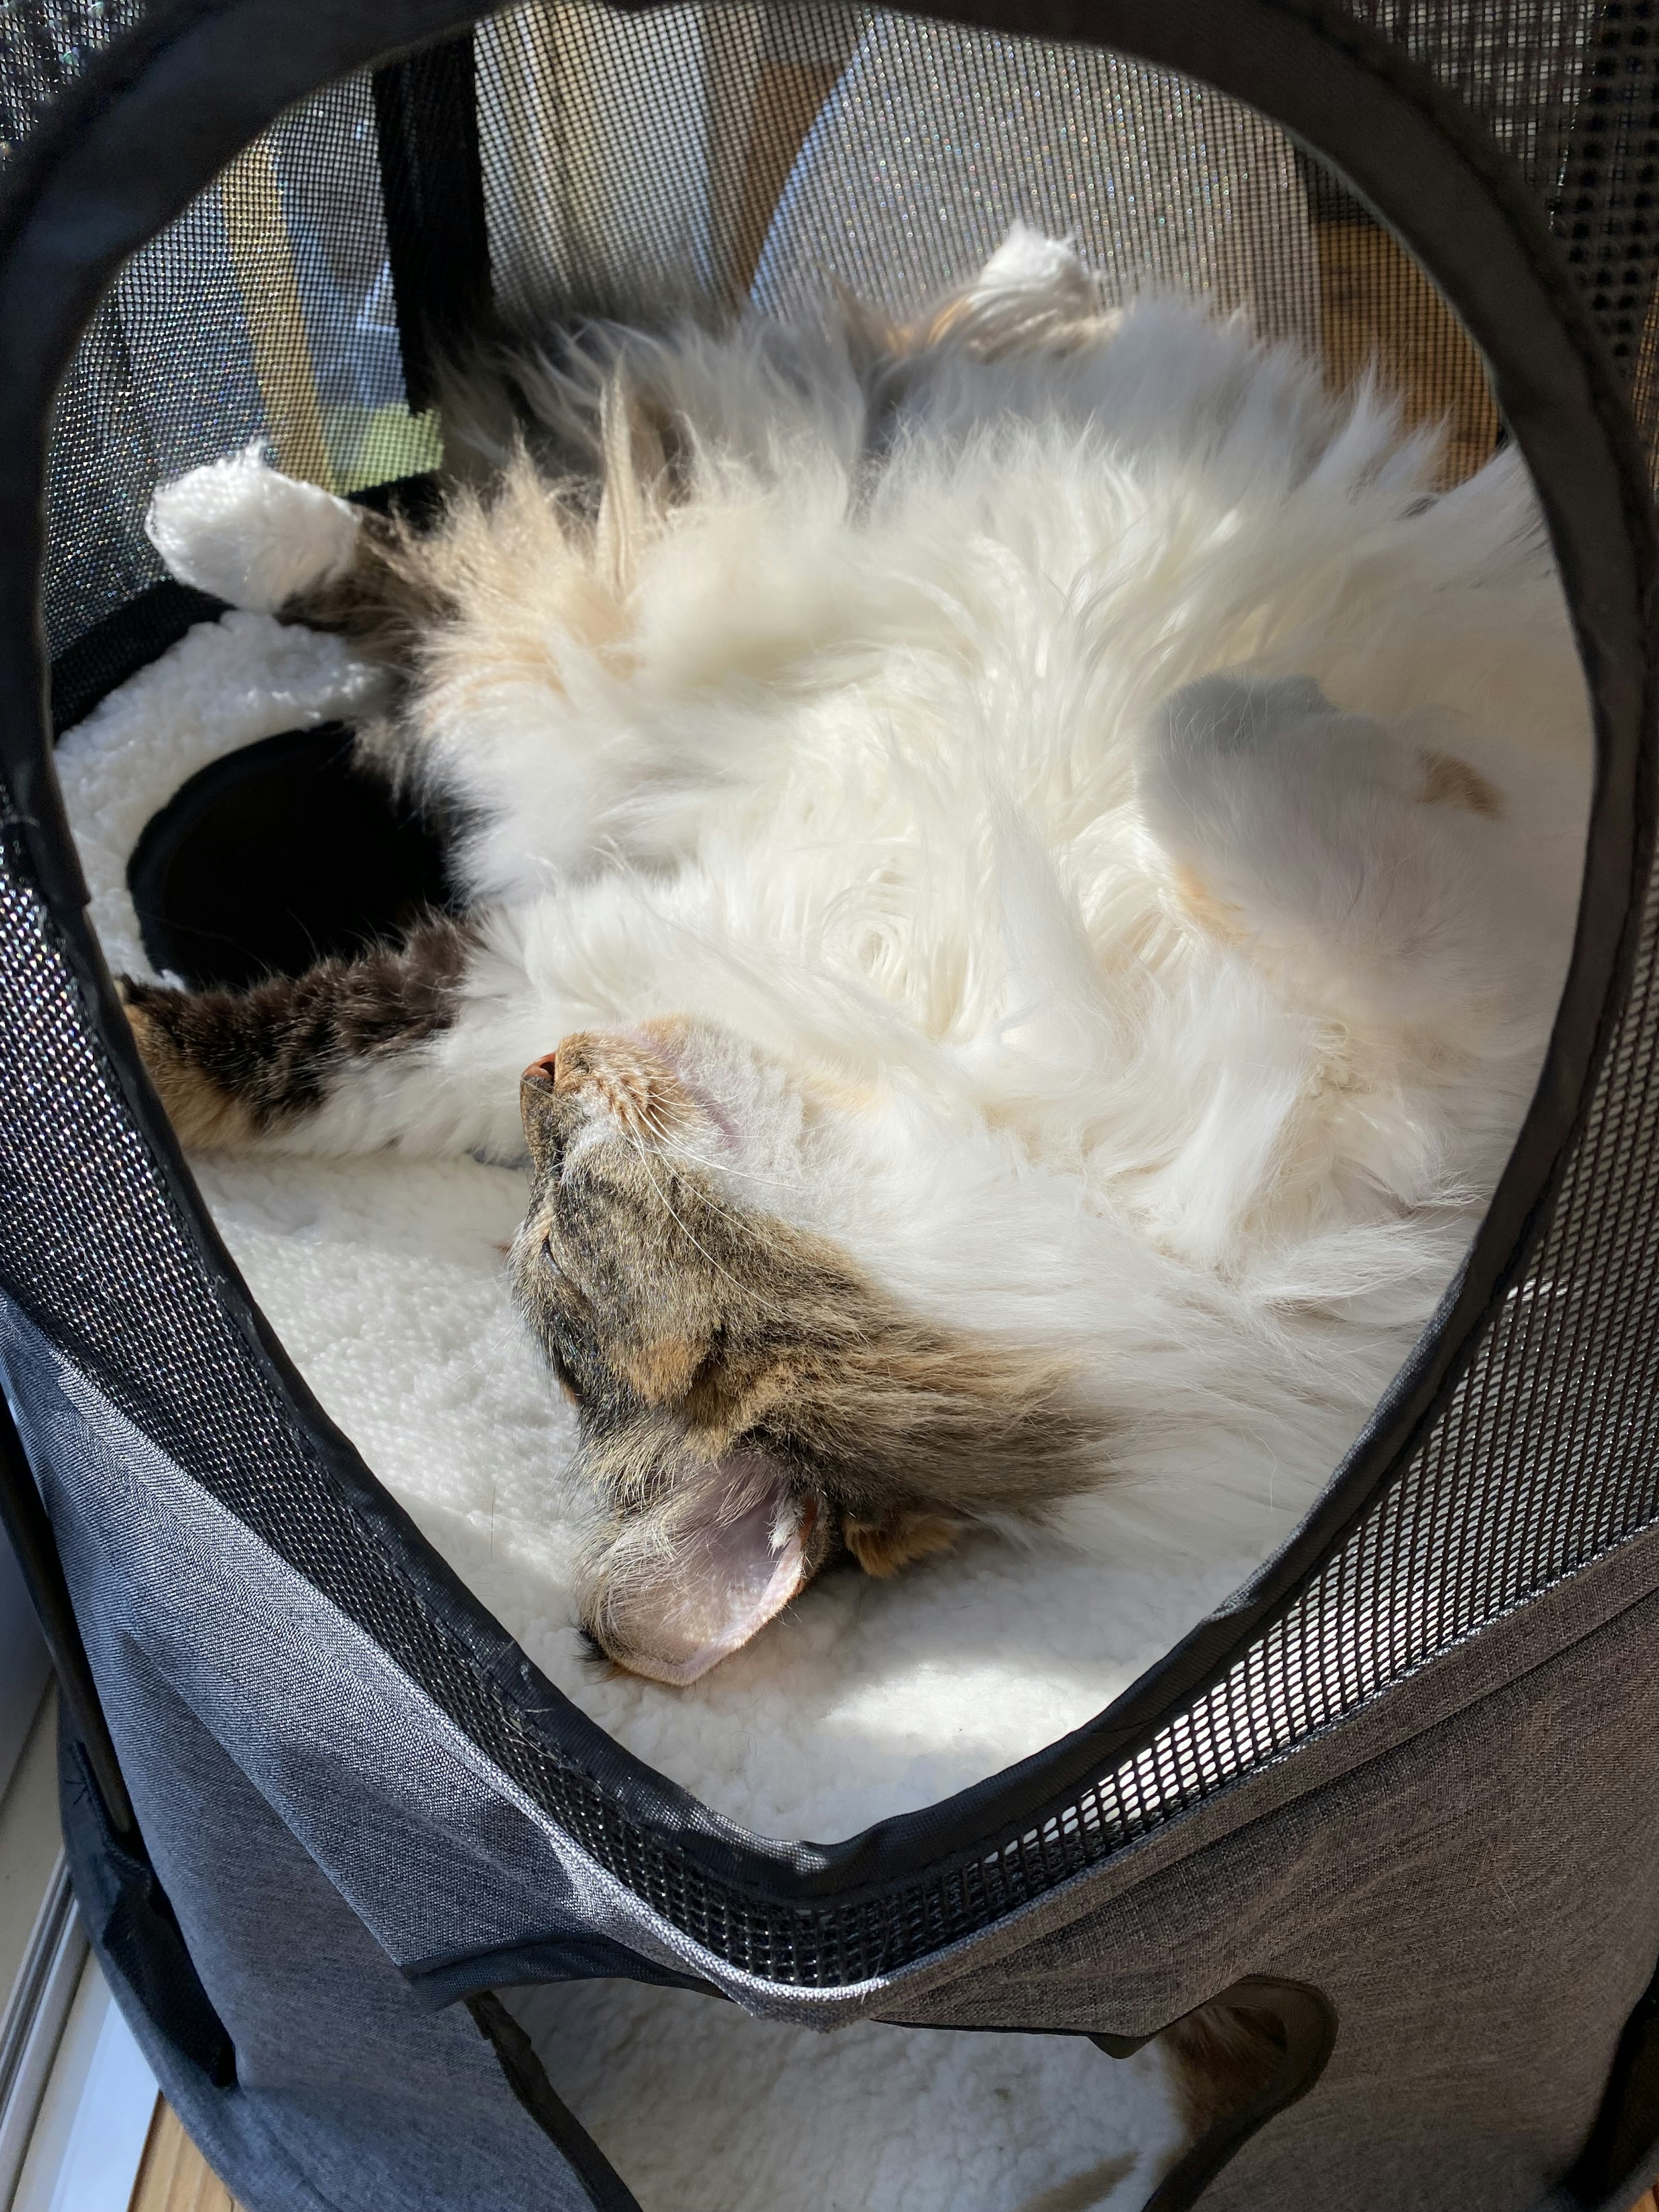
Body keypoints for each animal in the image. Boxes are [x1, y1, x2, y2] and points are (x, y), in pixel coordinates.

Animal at [123, 229, 1592, 1672]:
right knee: (466, 585)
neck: (944, 1062)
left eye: (555, 1224)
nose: (548, 1072)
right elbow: (299, 1061)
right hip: (599, 663)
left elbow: (1200, 745)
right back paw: (217, 513)